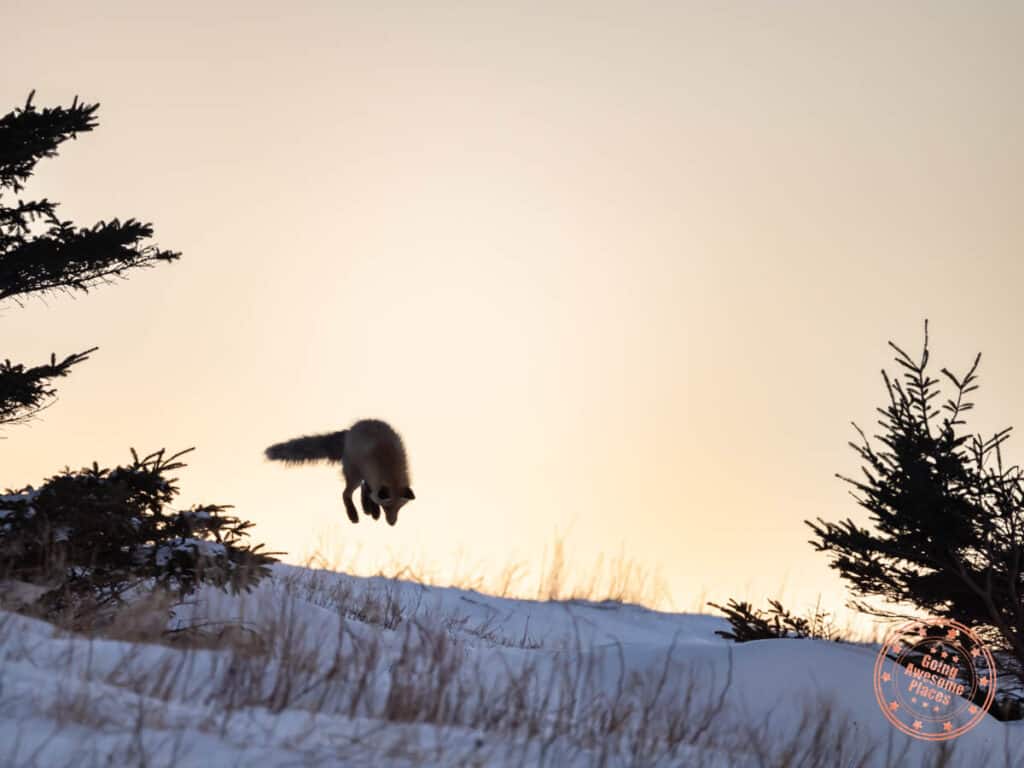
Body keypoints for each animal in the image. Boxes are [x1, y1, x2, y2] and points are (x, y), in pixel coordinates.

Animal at [265, 419, 415, 526]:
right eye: (387, 507)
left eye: (399, 507)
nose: (392, 523)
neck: (390, 470)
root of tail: (349, 431)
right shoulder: (370, 476)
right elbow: (368, 493)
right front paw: (372, 510)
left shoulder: (372, 478)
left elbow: (369, 492)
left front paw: (371, 509)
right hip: (353, 474)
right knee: (345, 493)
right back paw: (353, 514)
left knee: (360, 488)